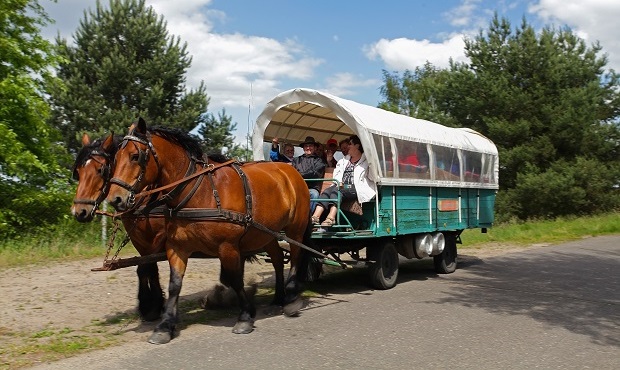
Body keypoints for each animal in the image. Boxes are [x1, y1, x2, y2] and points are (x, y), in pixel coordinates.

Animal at [70, 134, 166, 320]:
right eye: (78, 172)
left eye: (101, 170)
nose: (79, 212)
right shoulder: (138, 239)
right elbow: (146, 267)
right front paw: (150, 305)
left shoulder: (162, 235)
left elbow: (147, 265)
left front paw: (152, 304)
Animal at [105, 119, 314, 344]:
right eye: (115, 158)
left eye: (135, 156)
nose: (115, 199)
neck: (199, 192)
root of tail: (290, 172)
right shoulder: (177, 247)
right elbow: (174, 285)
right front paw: (164, 326)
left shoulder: (228, 247)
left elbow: (236, 279)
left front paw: (245, 317)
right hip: (266, 233)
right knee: (277, 260)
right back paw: (278, 299)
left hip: (295, 229)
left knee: (295, 256)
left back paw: (291, 299)